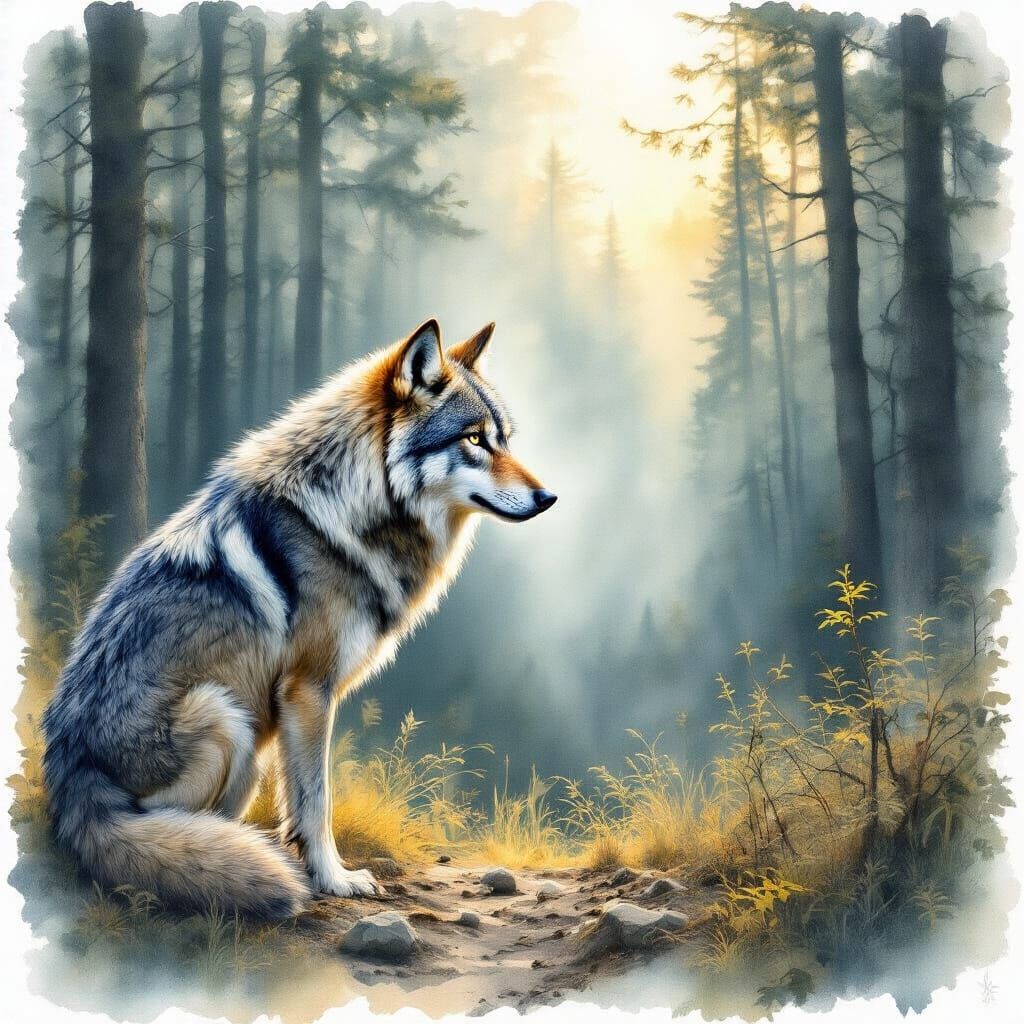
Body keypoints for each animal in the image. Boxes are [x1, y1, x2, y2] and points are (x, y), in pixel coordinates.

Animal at [42, 319, 556, 919]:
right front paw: (334, 879)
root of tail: (70, 780)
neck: (352, 510)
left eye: (504, 439)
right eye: (473, 439)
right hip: (226, 716)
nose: (549, 497)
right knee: (164, 833)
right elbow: (316, 800)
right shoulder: (309, 691)